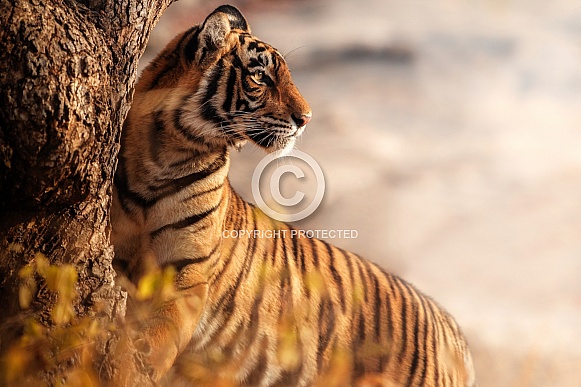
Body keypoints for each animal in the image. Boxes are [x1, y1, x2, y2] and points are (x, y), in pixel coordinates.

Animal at [111, 3, 474, 387]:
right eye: (261, 77)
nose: (307, 119)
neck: (164, 156)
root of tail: (453, 331)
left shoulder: (187, 276)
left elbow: (158, 339)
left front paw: (131, 369)